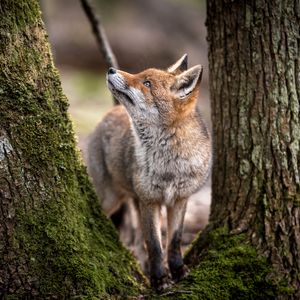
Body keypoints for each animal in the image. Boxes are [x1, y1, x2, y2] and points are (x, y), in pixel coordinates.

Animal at [86, 54, 212, 290]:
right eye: (140, 75)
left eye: (147, 83)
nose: (111, 69)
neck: (169, 165)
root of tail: (110, 112)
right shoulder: (149, 201)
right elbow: (154, 245)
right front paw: (159, 279)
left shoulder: (179, 199)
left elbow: (173, 241)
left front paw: (177, 270)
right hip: (110, 199)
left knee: (137, 242)